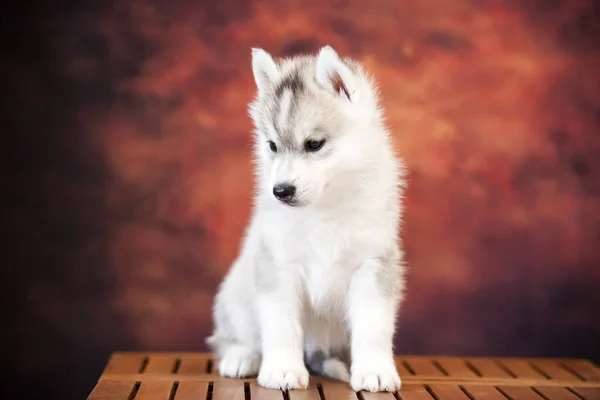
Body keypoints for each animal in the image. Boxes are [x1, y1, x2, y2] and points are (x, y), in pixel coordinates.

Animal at [206, 45, 408, 392]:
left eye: (314, 144)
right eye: (272, 145)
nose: (281, 191)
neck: (325, 208)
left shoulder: (373, 265)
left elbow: (373, 327)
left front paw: (375, 371)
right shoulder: (278, 265)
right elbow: (281, 326)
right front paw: (283, 370)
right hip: (237, 295)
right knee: (229, 337)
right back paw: (241, 357)